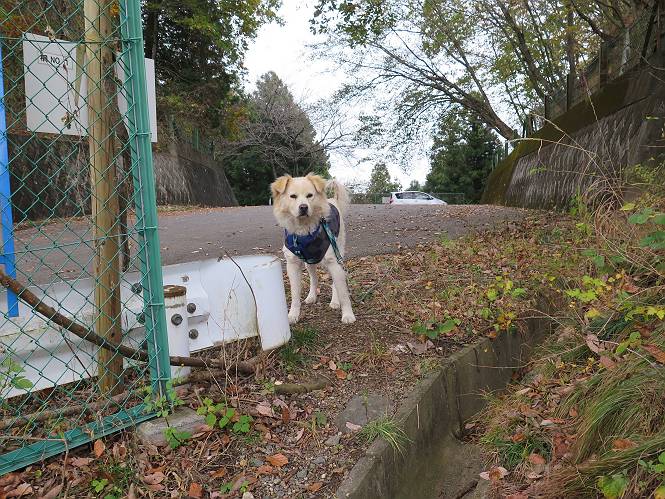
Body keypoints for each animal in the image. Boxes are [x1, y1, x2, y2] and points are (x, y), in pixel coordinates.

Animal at [271, 173, 356, 324]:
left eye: (309, 195)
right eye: (293, 196)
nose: (303, 207)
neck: (304, 232)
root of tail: (332, 200)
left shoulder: (334, 262)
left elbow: (343, 293)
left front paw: (348, 314)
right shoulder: (292, 264)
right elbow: (295, 294)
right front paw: (293, 314)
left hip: (338, 251)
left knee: (335, 283)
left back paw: (335, 302)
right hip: (309, 261)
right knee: (313, 278)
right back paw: (312, 296)